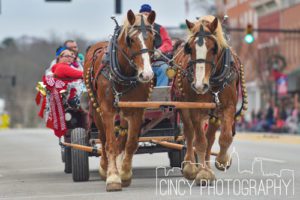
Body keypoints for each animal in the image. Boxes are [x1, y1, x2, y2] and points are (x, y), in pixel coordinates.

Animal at [82, 10, 156, 191]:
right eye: (130, 40)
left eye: (153, 38)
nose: (147, 74)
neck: (124, 73)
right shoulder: (107, 110)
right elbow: (110, 144)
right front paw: (113, 177)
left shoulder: (137, 110)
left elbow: (130, 143)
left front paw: (125, 173)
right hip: (96, 110)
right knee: (103, 138)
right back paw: (105, 167)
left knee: (121, 137)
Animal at [172, 15, 247, 184]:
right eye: (190, 49)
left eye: (214, 49)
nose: (200, 85)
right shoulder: (195, 109)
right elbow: (199, 141)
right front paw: (202, 173)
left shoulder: (228, 107)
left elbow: (224, 137)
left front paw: (222, 160)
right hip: (185, 108)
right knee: (190, 134)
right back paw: (191, 166)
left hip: (213, 115)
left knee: (211, 138)